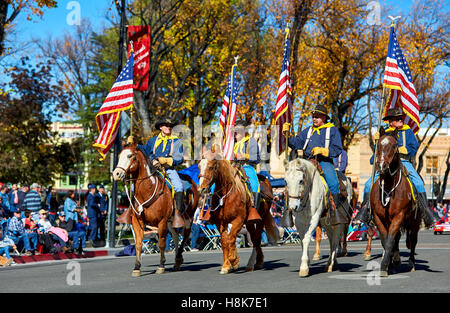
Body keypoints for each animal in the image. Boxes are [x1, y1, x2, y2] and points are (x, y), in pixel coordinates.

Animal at [112, 143, 199, 276]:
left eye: (129, 155)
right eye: (119, 156)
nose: (116, 174)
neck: (147, 190)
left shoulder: (161, 221)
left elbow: (162, 243)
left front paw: (161, 266)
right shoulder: (137, 222)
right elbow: (138, 244)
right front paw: (137, 268)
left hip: (188, 217)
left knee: (185, 235)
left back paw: (179, 257)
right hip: (171, 221)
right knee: (176, 236)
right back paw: (177, 262)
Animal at [370, 127, 420, 276]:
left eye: (394, 145)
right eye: (379, 145)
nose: (381, 165)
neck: (388, 187)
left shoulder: (399, 216)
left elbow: (390, 240)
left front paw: (385, 265)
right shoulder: (378, 217)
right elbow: (385, 240)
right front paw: (390, 263)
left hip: (414, 221)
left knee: (413, 240)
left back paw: (411, 263)